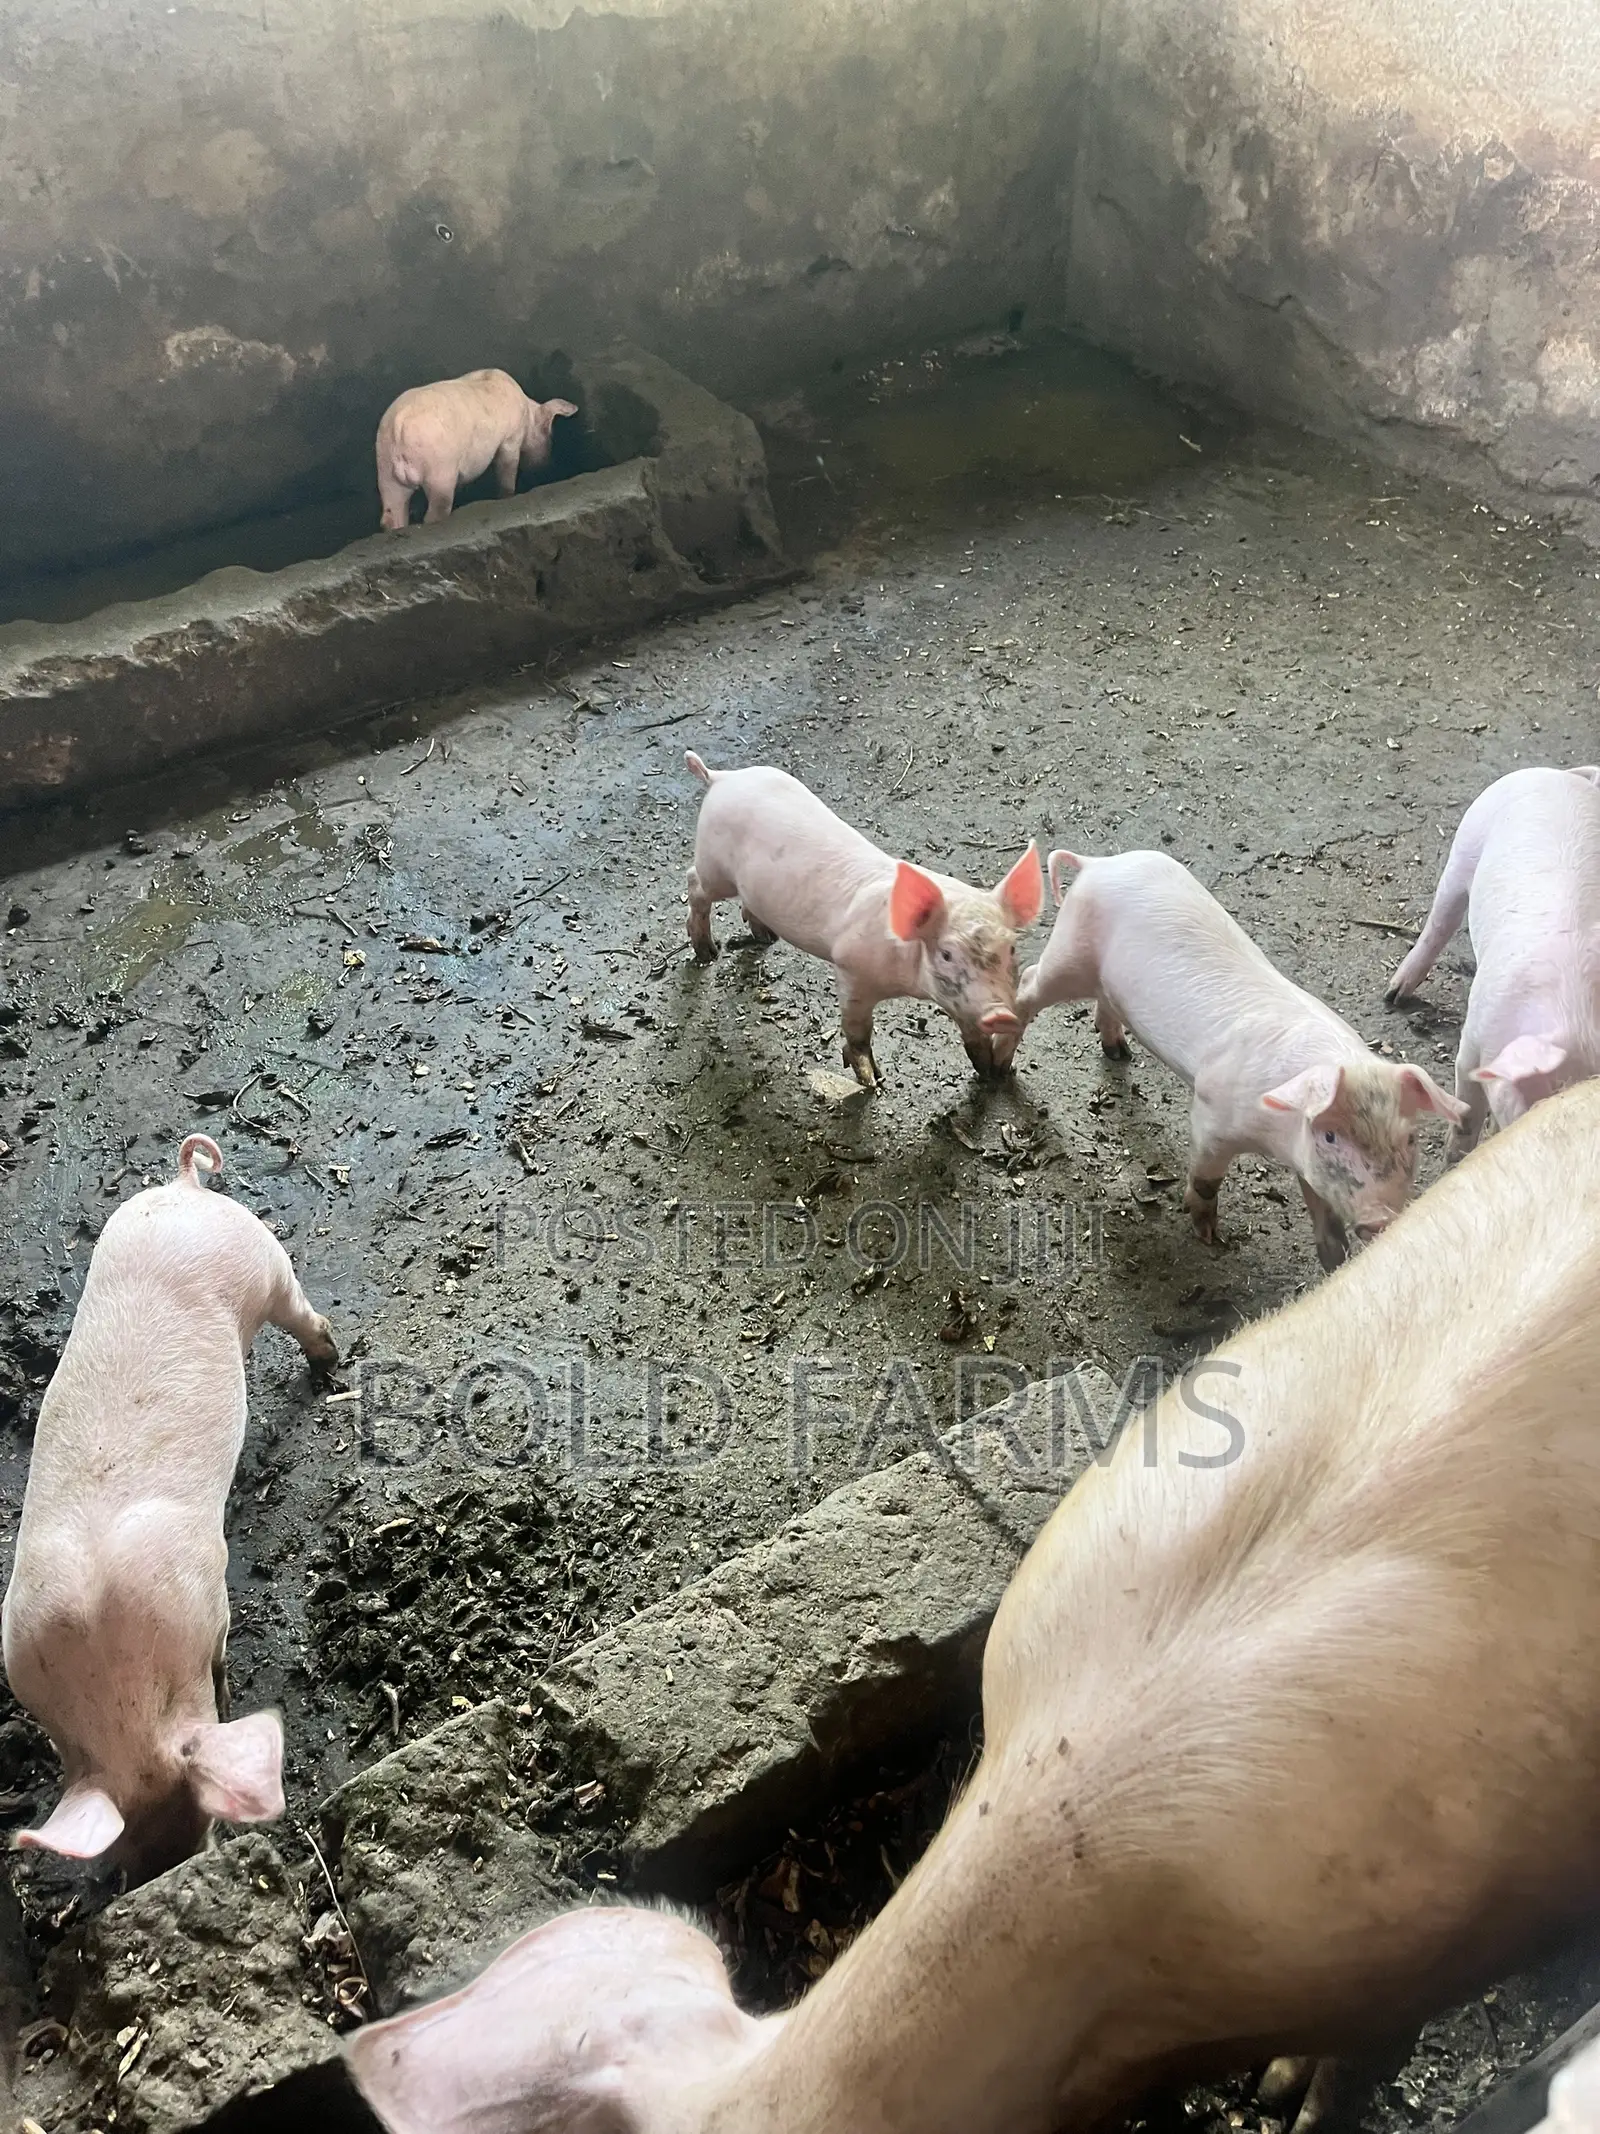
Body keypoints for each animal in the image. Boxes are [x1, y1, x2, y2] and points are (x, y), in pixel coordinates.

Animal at [2, 1133, 337, 1879]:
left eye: (207, 1822)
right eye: (123, 1849)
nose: (167, 1870)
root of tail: (186, 1188)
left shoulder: (211, 1592)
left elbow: (220, 1655)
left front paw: (228, 1690)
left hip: (263, 1260)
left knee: (304, 1311)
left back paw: (330, 1364)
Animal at [376, 369, 578, 529]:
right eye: (549, 435)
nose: (549, 465)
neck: (528, 415)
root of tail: (399, 423)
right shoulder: (510, 439)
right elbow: (507, 471)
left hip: (386, 469)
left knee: (391, 516)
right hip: (440, 469)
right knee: (437, 509)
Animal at [684, 751, 1042, 1083]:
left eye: (1011, 949)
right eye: (946, 954)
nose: (1001, 1014)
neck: (907, 979)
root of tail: (721, 777)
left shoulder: (962, 1003)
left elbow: (973, 1034)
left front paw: (990, 1074)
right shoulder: (851, 968)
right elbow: (858, 1031)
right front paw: (873, 1080)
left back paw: (766, 936)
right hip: (714, 867)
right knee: (694, 882)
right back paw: (708, 952)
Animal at [1015, 848, 1464, 1269]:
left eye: (1410, 1139)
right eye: (1331, 1137)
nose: (1382, 1219)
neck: (1276, 1135)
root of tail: (1096, 863)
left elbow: (1321, 1206)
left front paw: (1334, 1260)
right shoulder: (1212, 1113)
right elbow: (1207, 1179)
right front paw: (1209, 1237)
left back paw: (1119, 1053)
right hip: (1070, 952)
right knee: (1027, 979)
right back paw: (1003, 1065)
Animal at [1386, 765, 1600, 1153]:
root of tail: (1558, 774)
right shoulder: (1474, 1036)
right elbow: (1467, 1104)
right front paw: (1454, 1155)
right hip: (1466, 845)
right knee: (1440, 921)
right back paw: (1394, 995)